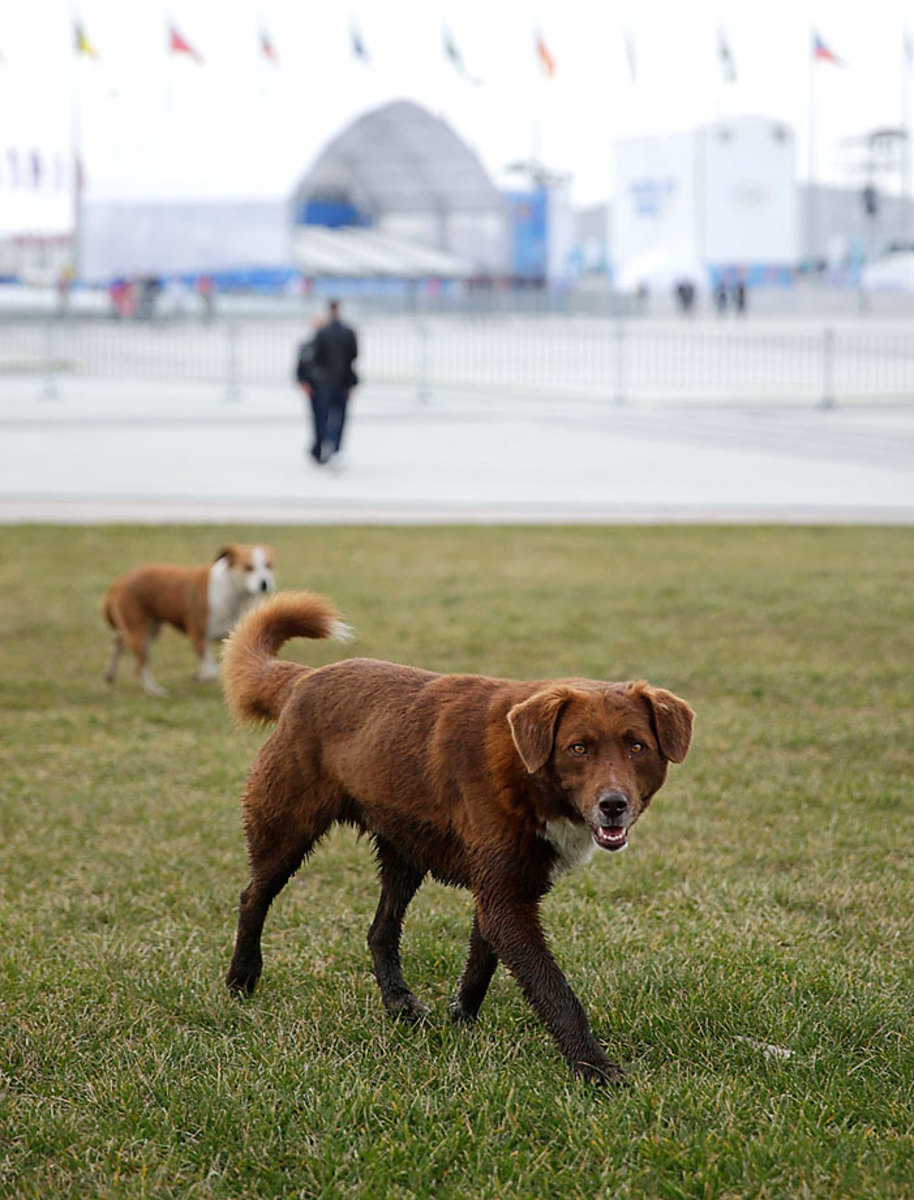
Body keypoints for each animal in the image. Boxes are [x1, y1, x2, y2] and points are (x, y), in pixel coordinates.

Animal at [102, 544, 274, 696]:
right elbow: (211, 671)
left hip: (149, 628)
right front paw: (200, 676)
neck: (234, 593)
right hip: (140, 633)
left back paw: (110, 674)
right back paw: (154, 690)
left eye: (269, 565)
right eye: (248, 567)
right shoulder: (199, 636)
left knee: (119, 643)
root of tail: (118, 582)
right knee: (140, 665)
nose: (265, 583)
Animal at [220, 585, 690, 1084]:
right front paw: (594, 1067)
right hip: (286, 830)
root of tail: (303, 679)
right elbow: (554, 990)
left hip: (406, 851)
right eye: (578, 748)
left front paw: (461, 1018)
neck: (527, 772)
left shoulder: (501, 887)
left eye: (636, 746)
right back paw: (242, 979)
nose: (613, 805)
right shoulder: (505, 898)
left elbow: (481, 962)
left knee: (380, 930)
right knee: (254, 896)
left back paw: (399, 1002)